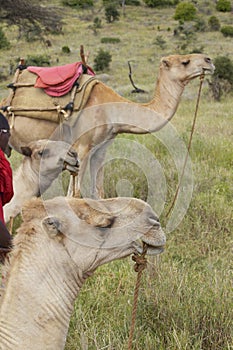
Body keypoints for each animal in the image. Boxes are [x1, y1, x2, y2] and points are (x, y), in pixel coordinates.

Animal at [1, 53, 215, 198]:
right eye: (185, 61)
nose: (209, 61)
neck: (112, 109)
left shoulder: (100, 149)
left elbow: (98, 193)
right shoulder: (81, 147)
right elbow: (74, 194)